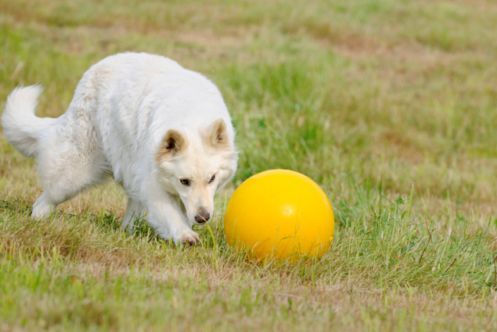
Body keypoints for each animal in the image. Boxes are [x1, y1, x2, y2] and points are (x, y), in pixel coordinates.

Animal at [1, 51, 237, 244]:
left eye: (212, 179)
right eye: (184, 181)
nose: (202, 217)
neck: (190, 117)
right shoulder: (152, 184)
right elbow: (169, 213)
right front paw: (185, 235)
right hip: (73, 177)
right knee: (44, 200)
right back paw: (39, 222)